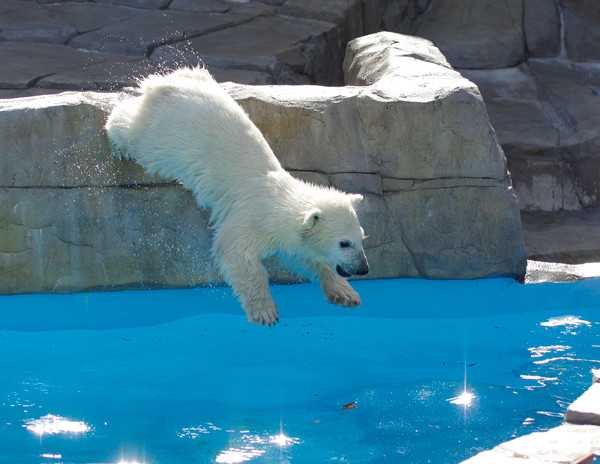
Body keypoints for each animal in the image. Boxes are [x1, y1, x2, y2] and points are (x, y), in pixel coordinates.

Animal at [105, 66, 368, 326]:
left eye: (361, 237)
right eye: (344, 243)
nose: (364, 268)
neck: (279, 199)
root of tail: (166, 84)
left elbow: (303, 255)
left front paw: (345, 294)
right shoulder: (254, 218)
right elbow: (236, 251)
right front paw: (265, 311)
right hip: (166, 134)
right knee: (136, 134)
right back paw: (119, 140)